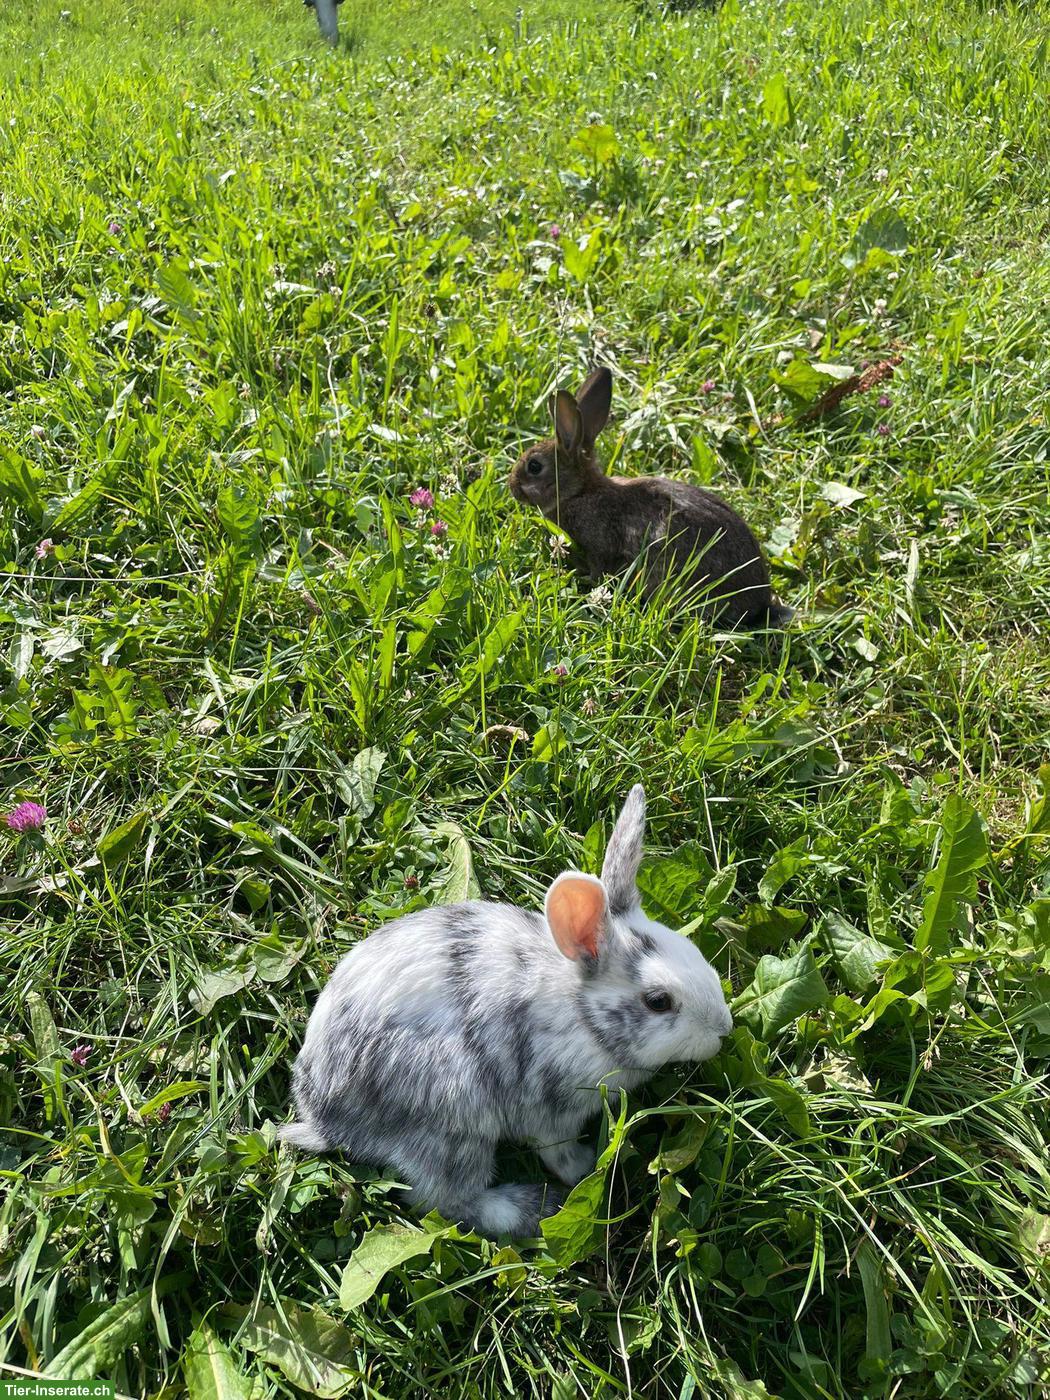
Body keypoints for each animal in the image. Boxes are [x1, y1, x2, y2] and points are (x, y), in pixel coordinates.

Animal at [282, 785, 732, 1239]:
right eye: (658, 1001)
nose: (724, 1030)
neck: (582, 1016)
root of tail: (325, 1119)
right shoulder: (552, 1111)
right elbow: (556, 1151)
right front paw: (583, 1167)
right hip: (452, 1123)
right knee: (443, 1200)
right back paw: (535, 1207)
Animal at [509, 366, 792, 628]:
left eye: (534, 466)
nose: (512, 488)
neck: (582, 491)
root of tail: (760, 607)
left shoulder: (600, 544)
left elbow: (598, 569)